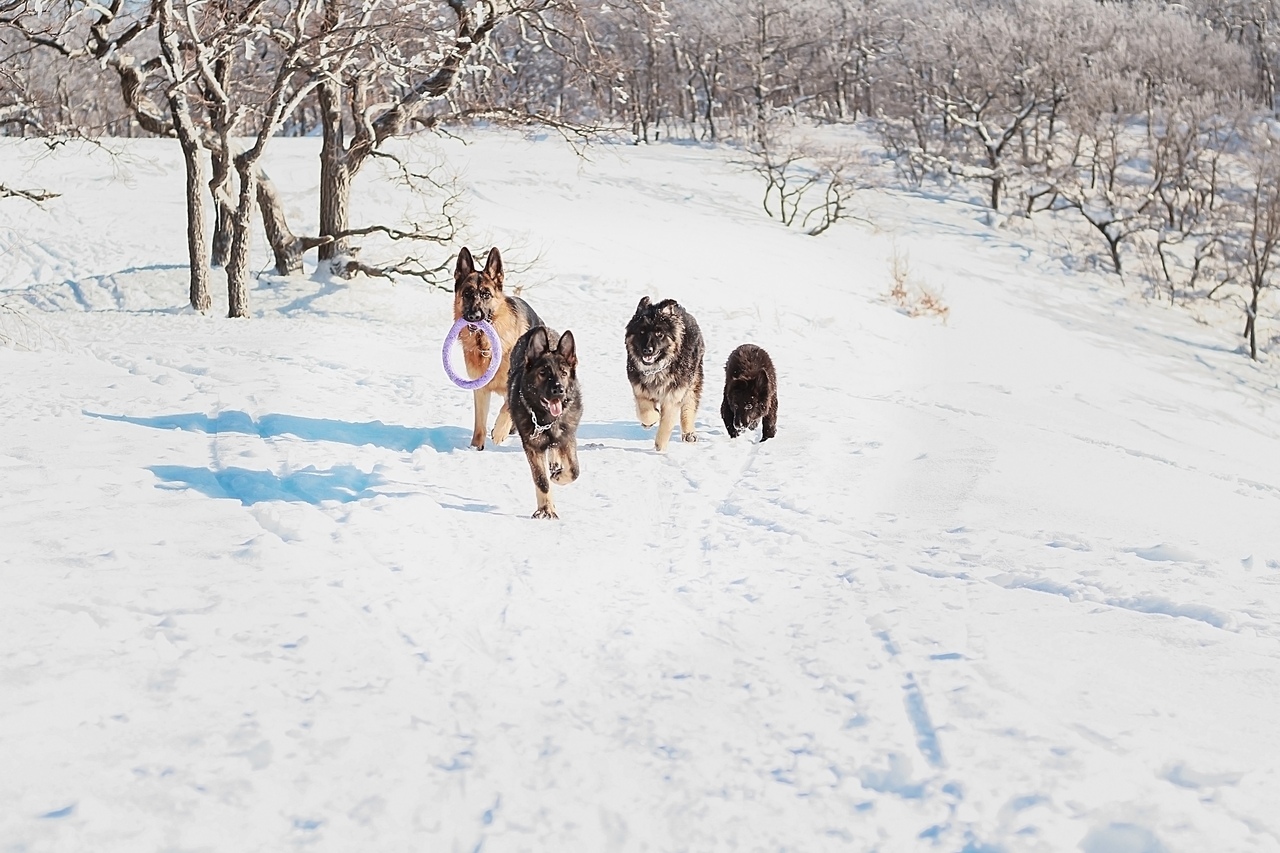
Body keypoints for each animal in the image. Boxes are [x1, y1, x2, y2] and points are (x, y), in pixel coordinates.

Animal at [453, 242, 542, 448]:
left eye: (486, 294)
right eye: (467, 293)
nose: (474, 316)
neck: (486, 346)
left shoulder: (517, 384)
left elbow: (506, 409)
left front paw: (500, 431)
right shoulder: (480, 390)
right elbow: (479, 423)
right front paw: (476, 447)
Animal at [506, 322, 583, 514]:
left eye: (563, 373)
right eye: (543, 372)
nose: (558, 390)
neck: (546, 420)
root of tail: (539, 328)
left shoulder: (568, 438)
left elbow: (574, 470)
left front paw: (559, 477)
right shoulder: (532, 447)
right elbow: (541, 480)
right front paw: (546, 509)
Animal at [624, 294, 706, 448]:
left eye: (659, 334)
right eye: (641, 332)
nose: (647, 350)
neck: (656, 369)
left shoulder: (673, 396)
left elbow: (666, 423)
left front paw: (660, 447)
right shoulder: (639, 390)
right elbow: (645, 412)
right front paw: (652, 418)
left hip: (693, 381)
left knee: (689, 406)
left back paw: (689, 433)